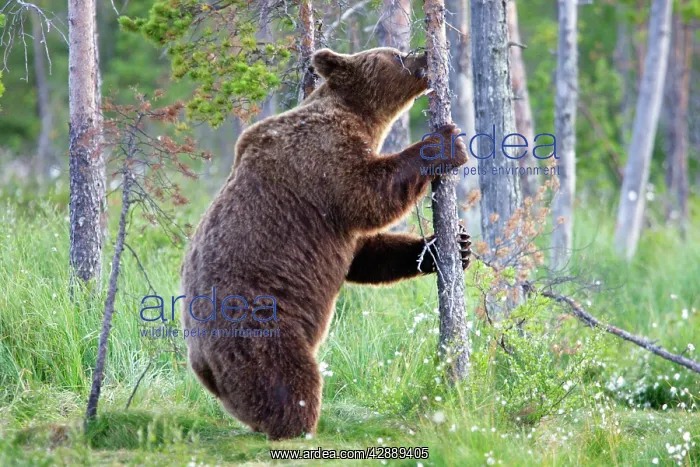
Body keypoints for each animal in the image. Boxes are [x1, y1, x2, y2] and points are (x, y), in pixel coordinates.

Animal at [180, 47, 471, 440]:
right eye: (395, 55)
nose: (425, 53)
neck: (360, 118)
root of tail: (200, 359)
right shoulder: (320, 158)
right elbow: (367, 193)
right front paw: (446, 142)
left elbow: (365, 255)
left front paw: (454, 245)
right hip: (258, 322)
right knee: (284, 375)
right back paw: (298, 424)